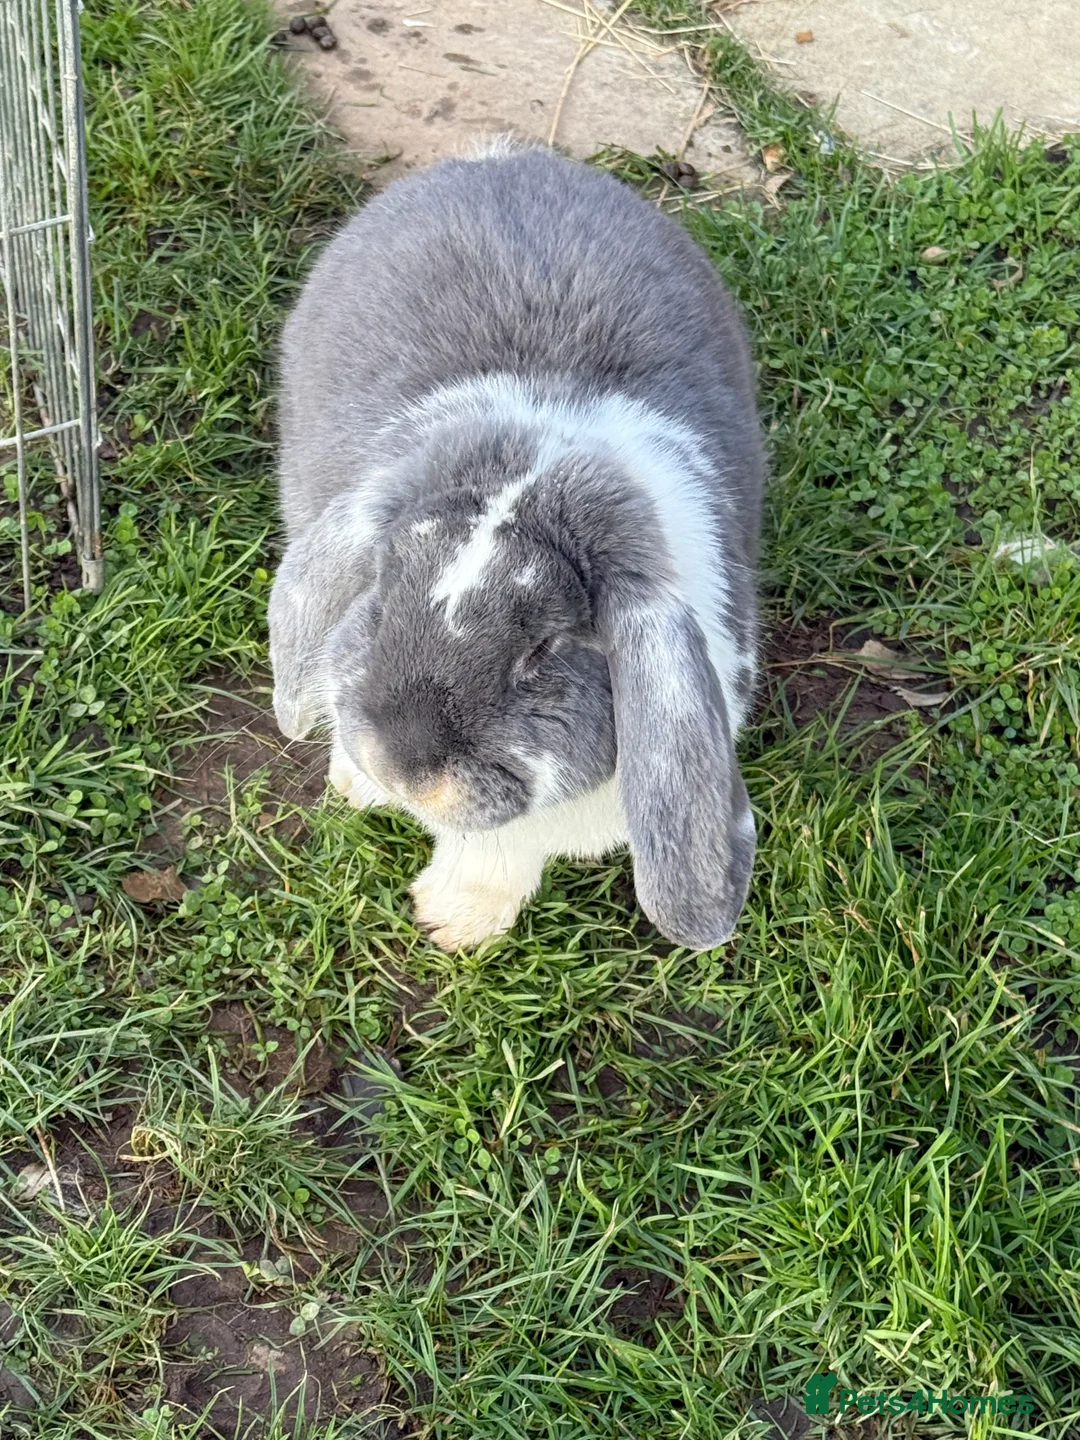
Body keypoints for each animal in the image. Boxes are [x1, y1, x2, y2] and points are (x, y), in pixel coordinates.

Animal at [268, 141, 764, 952]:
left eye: (544, 649)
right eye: (383, 588)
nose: (399, 765)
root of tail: (500, 155)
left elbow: (496, 853)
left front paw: (452, 922)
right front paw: (358, 790)